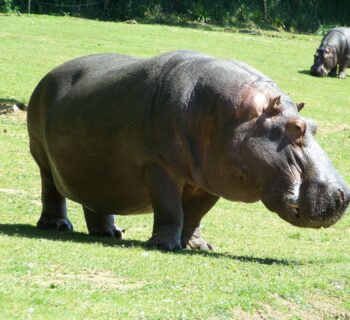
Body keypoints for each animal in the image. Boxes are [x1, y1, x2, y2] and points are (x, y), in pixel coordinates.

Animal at [28, 50, 350, 250]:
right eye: (296, 128)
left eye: (314, 125)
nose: (343, 195)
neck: (234, 117)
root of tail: (48, 74)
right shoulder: (158, 166)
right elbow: (170, 208)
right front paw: (164, 246)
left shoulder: (209, 180)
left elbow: (195, 215)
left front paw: (199, 246)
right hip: (41, 156)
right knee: (51, 190)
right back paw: (57, 226)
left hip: (96, 169)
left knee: (96, 199)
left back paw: (110, 233)